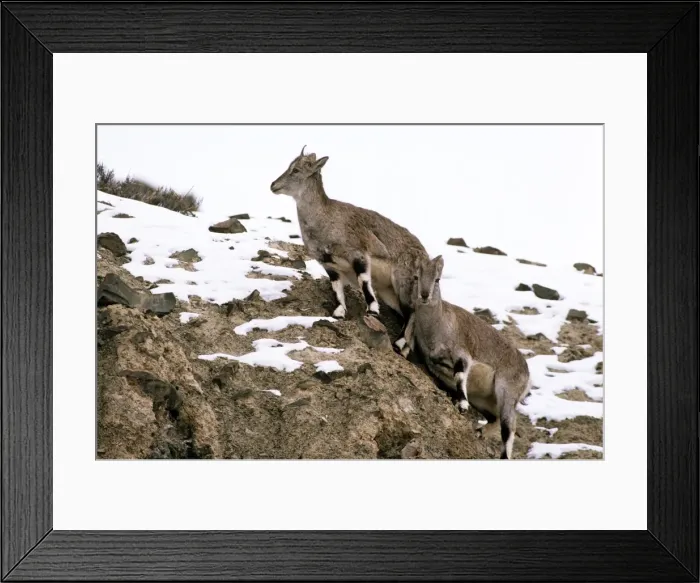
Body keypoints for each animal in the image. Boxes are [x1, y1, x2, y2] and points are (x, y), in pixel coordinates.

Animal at [270, 147, 429, 340]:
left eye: (296, 170)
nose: (273, 185)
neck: (325, 219)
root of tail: (424, 254)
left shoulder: (358, 254)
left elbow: (364, 281)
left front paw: (372, 310)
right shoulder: (329, 264)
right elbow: (337, 289)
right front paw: (339, 313)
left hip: (404, 282)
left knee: (412, 312)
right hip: (389, 292)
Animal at [397, 255, 531, 459]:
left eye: (437, 279)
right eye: (416, 277)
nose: (425, 295)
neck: (436, 326)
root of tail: (527, 373)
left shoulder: (462, 353)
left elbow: (460, 375)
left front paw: (462, 405)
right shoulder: (432, 358)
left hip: (507, 391)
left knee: (509, 426)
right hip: (483, 400)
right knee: (495, 419)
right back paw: (479, 431)